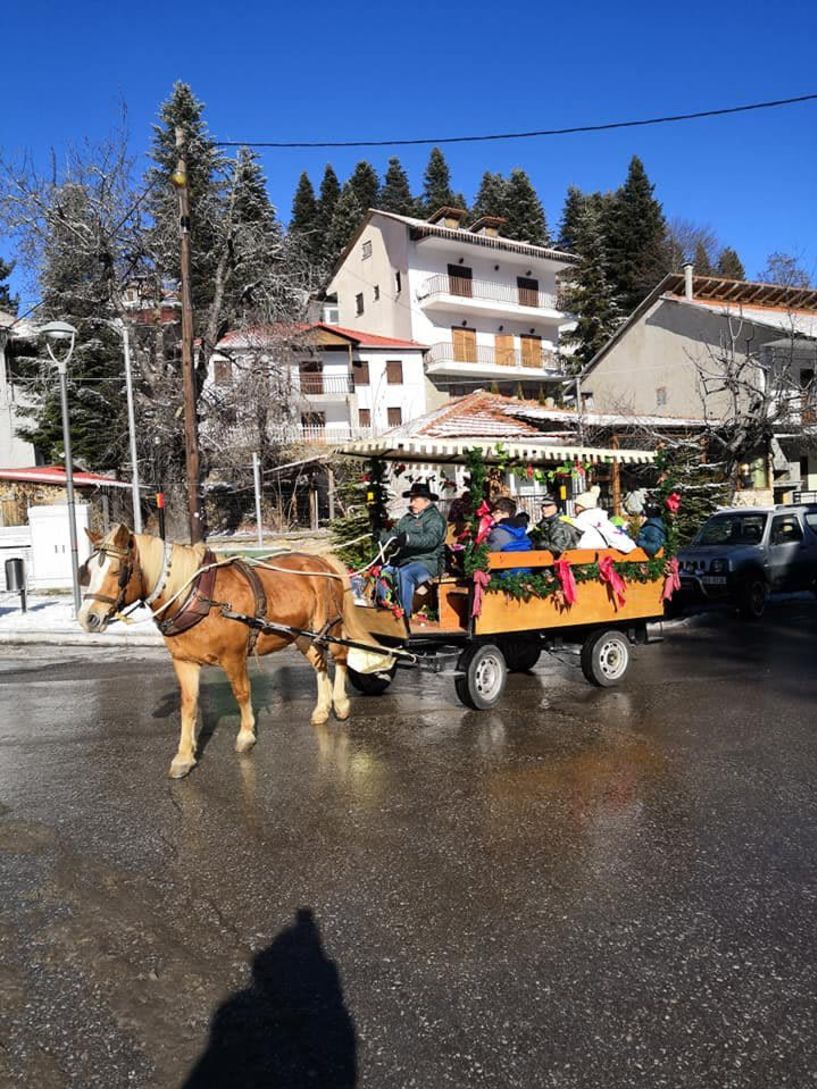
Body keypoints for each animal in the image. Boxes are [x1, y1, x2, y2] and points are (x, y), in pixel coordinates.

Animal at [78, 522, 383, 779]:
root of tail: (321, 560)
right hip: (302, 635)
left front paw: (246, 735)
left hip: (329, 626)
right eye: (89, 572)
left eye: (117, 572)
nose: (87, 618)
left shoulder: (233, 657)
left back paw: (340, 704)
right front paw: (184, 757)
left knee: (340, 658)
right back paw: (321, 710)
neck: (197, 597)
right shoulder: (183, 661)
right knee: (319, 664)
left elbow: (241, 692)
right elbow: (189, 705)